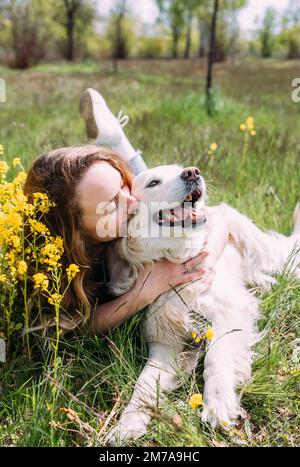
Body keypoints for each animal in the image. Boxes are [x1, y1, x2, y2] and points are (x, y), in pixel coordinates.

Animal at [106, 165, 300, 446]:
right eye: (153, 183)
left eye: (180, 169)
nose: (192, 173)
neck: (180, 265)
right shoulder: (166, 346)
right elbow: (143, 384)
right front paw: (127, 424)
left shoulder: (230, 313)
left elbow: (216, 357)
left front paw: (218, 404)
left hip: (266, 251)